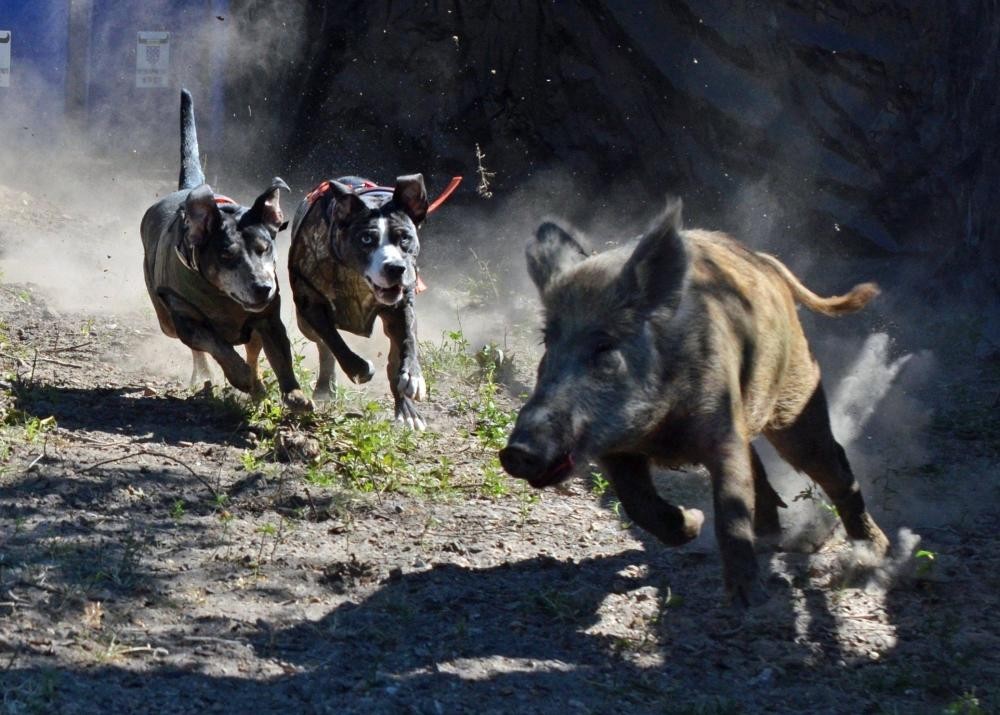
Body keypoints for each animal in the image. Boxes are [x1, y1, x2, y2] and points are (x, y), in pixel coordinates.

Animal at [141, 90, 312, 414]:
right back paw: (208, 377)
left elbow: (280, 355)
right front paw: (240, 376)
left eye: (265, 248)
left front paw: (294, 393)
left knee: (253, 349)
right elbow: (215, 345)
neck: (222, 297)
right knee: (197, 350)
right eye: (226, 255)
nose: (263, 288)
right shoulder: (187, 319)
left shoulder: (268, 319)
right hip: (167, 320)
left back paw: (257, 385)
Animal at [290, 176, 430, 428]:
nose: (395, 268)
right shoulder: (310, 302)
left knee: (393, 358)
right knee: (323, 347)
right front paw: (360, 369)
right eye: (366, 238)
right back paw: (326, 387)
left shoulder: (402, 303)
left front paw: (413, 376)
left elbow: (408, 338)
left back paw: (406, 410)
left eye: (404, 237)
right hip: (303, 323)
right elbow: (333, 341)